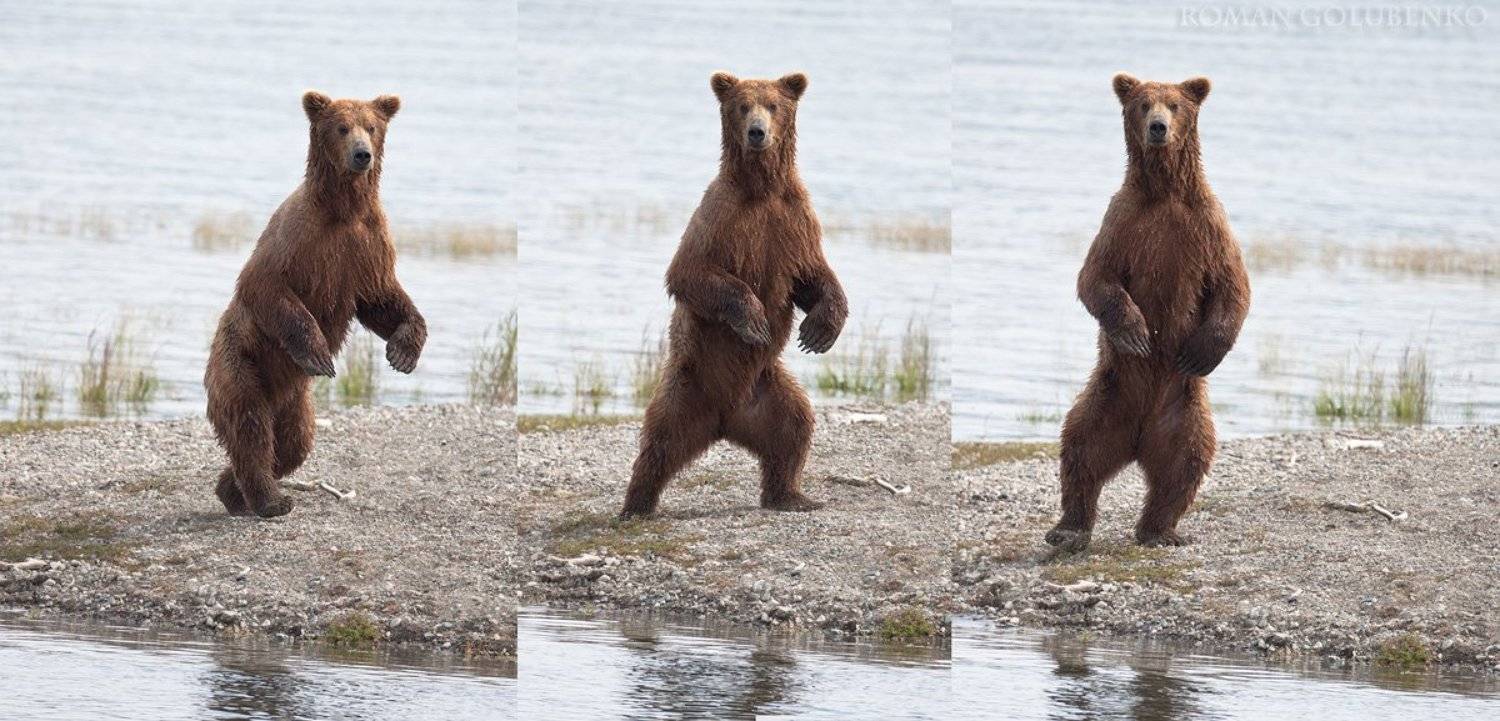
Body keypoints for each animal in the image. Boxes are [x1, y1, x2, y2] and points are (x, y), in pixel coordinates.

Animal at [204, 90, 426, 518]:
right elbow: (267, 287)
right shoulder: (298, 238)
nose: (362, 154)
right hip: (240, 364)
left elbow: (381, 298)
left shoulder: (368, 245)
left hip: (296, 400)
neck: (344, 210)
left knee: (293, 442)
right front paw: (319, 353)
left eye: (371, 126)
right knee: (251, 428)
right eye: (341, 127)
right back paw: (270, 500)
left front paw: (403, 352)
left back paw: (233, 491)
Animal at [619, 71, 848, 518]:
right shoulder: (720, 217)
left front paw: (819, 331)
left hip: (768, 388)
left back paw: (793, 495)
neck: (761, 190)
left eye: (773, 105)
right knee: (658, 444)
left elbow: (813, 275)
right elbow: (690, 272)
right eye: (743, 106)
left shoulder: (794, 220)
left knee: (794, 428)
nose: (758, 132)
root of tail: (724, 421)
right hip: (687, 387)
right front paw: (754, 319)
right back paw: (636, 505)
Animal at [1044, 73, 1250, 551]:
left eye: (1174, 104)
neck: (1165, 193)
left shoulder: (1208, 228)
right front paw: (1136, 333)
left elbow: (1233, 287)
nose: (1158, 127)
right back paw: (1069, 529)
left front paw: (1201, 351)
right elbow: (1096, 278)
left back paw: (1160, 530)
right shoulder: (1123, 224)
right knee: (1079, 451)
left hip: (1184, 412)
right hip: (1107, 398)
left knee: (1186, 464)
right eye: (1143, 104)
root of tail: (1138, 441)